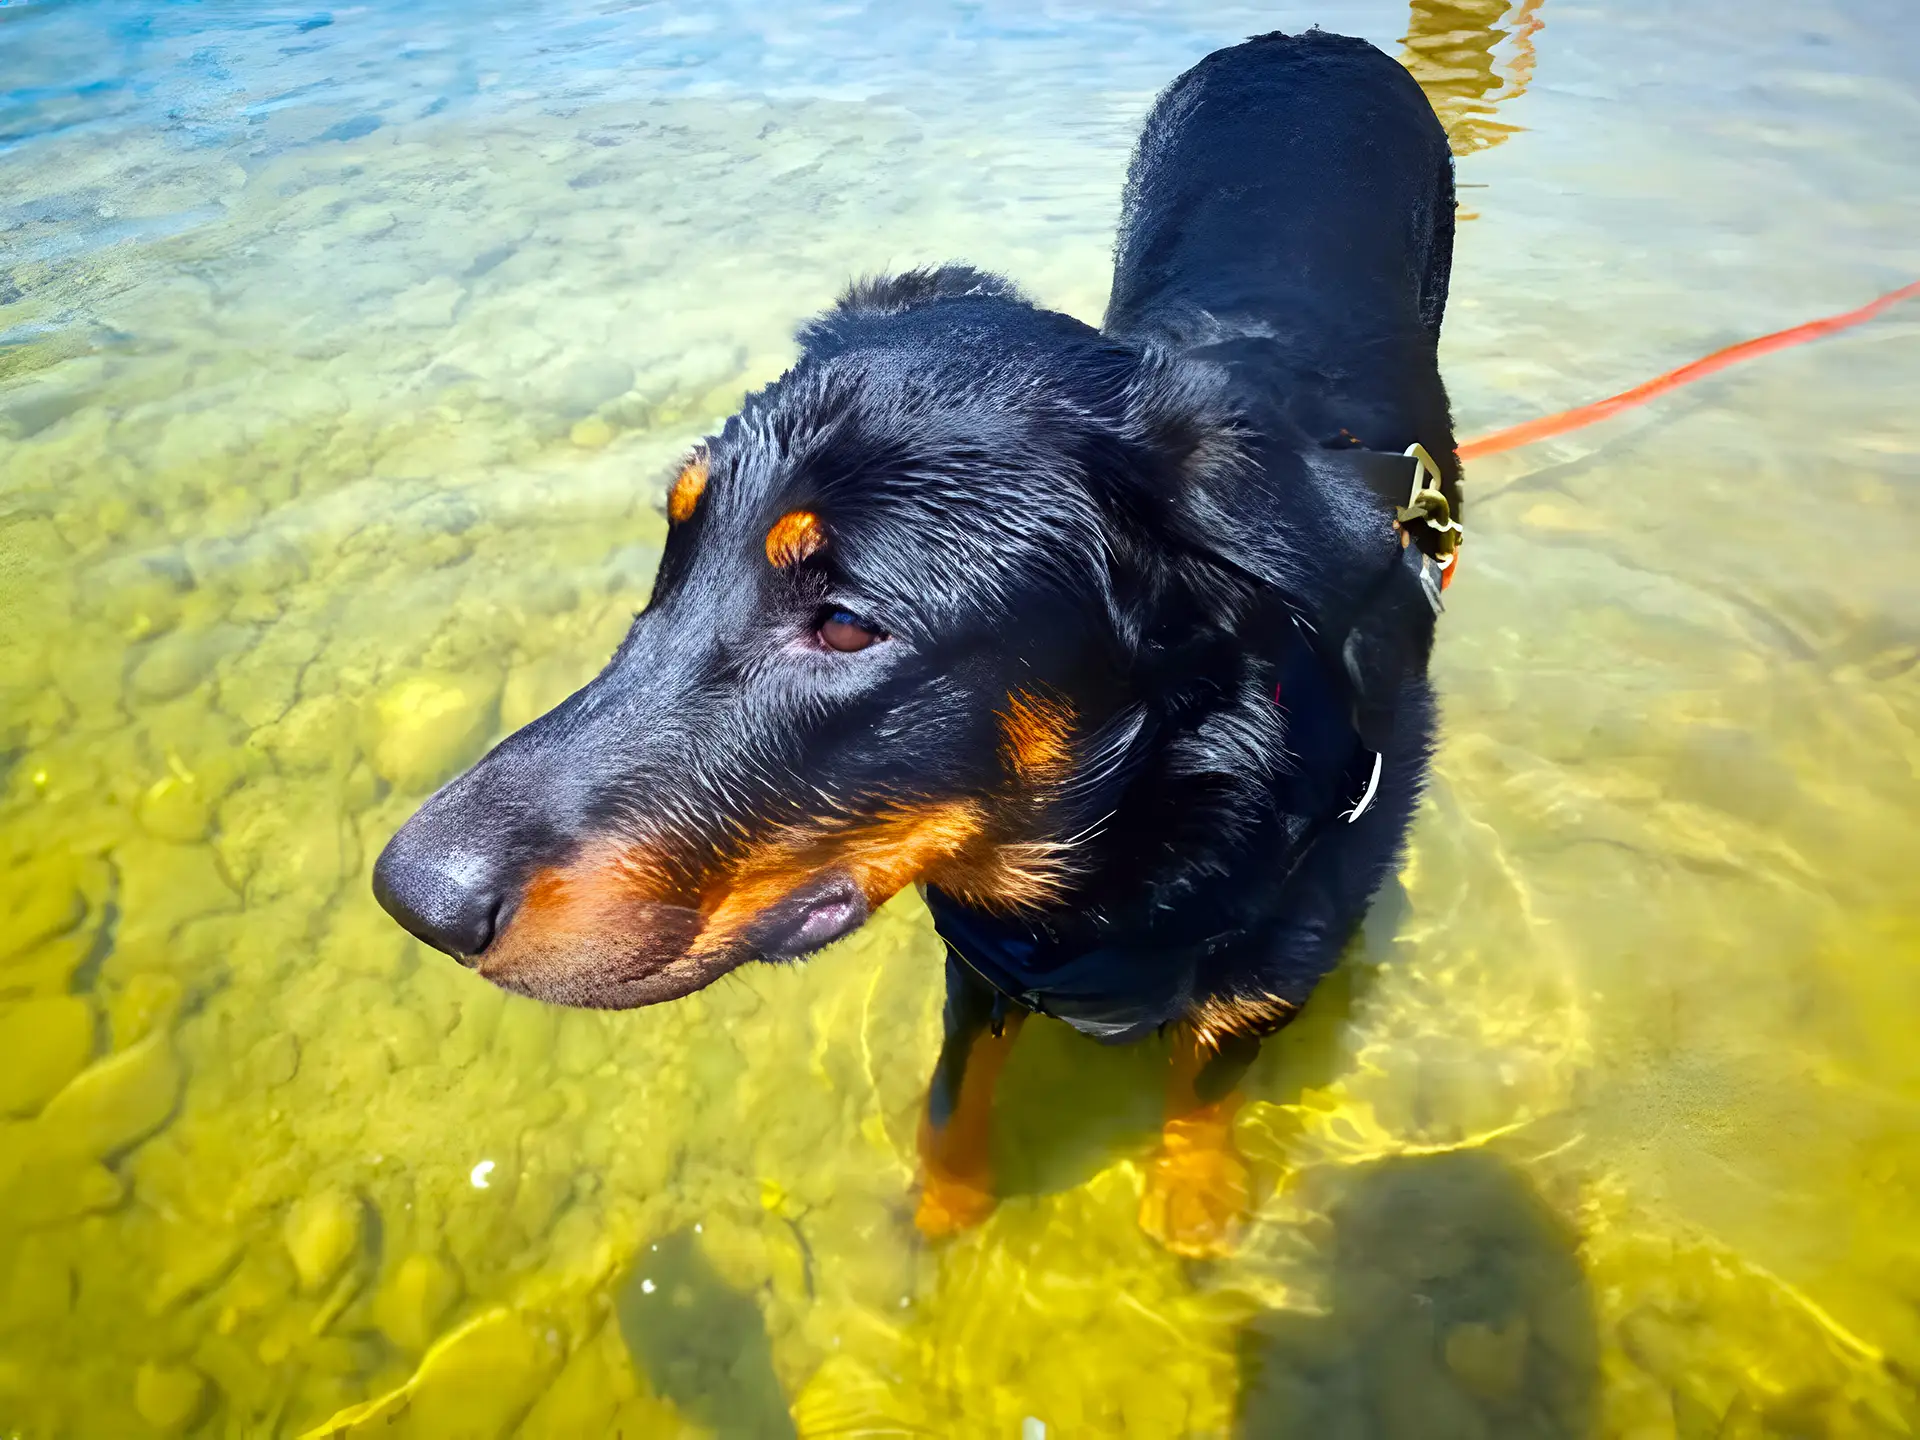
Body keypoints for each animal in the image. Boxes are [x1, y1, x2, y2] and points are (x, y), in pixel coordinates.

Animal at [370, 28, 1451, 1259]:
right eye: (674, 545)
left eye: (846, 624)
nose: (411, 896)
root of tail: (1310, 41)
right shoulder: (982, 959)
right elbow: (952, 1098)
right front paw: (941, 1213)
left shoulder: (1270, 962)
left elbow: (1205, 1087)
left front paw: (1192, 1201)